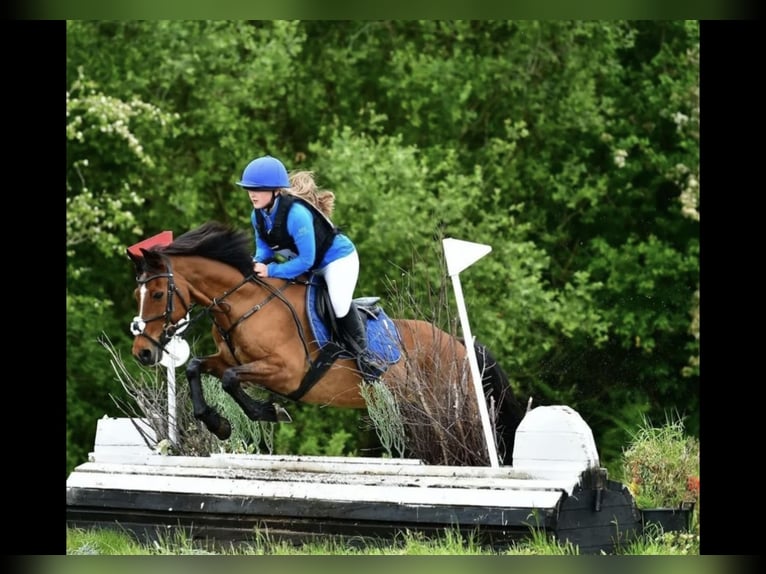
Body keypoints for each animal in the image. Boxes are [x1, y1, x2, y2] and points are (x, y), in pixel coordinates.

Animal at [127, 221, 525, 464]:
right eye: (138, 294)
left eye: (159, 293)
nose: (143, 352)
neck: (243, 304)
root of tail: (459, 345)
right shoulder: (229, 359)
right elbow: (197, 368)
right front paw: (218, 424)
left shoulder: (286, 372)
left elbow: (230, 380)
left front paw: (269, 411)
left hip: (452, 406)